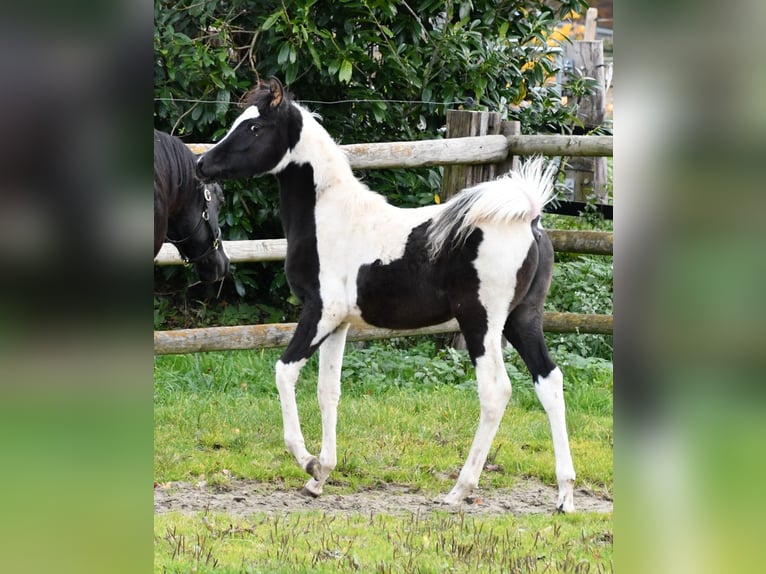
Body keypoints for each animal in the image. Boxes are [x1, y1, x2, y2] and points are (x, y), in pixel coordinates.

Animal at [196, 78, 576, 512]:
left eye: (255, 128)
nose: (202, 165)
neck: (330, 215)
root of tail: (528, 217)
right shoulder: (340, 323)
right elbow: (328, 390)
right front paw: (320, 477)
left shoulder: (320, 311)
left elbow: (285, 372)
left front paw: (308, 462)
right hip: (522, 319)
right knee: (549, 381)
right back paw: (565, 495)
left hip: (481, 321)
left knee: (496, 391)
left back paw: (459, 490)